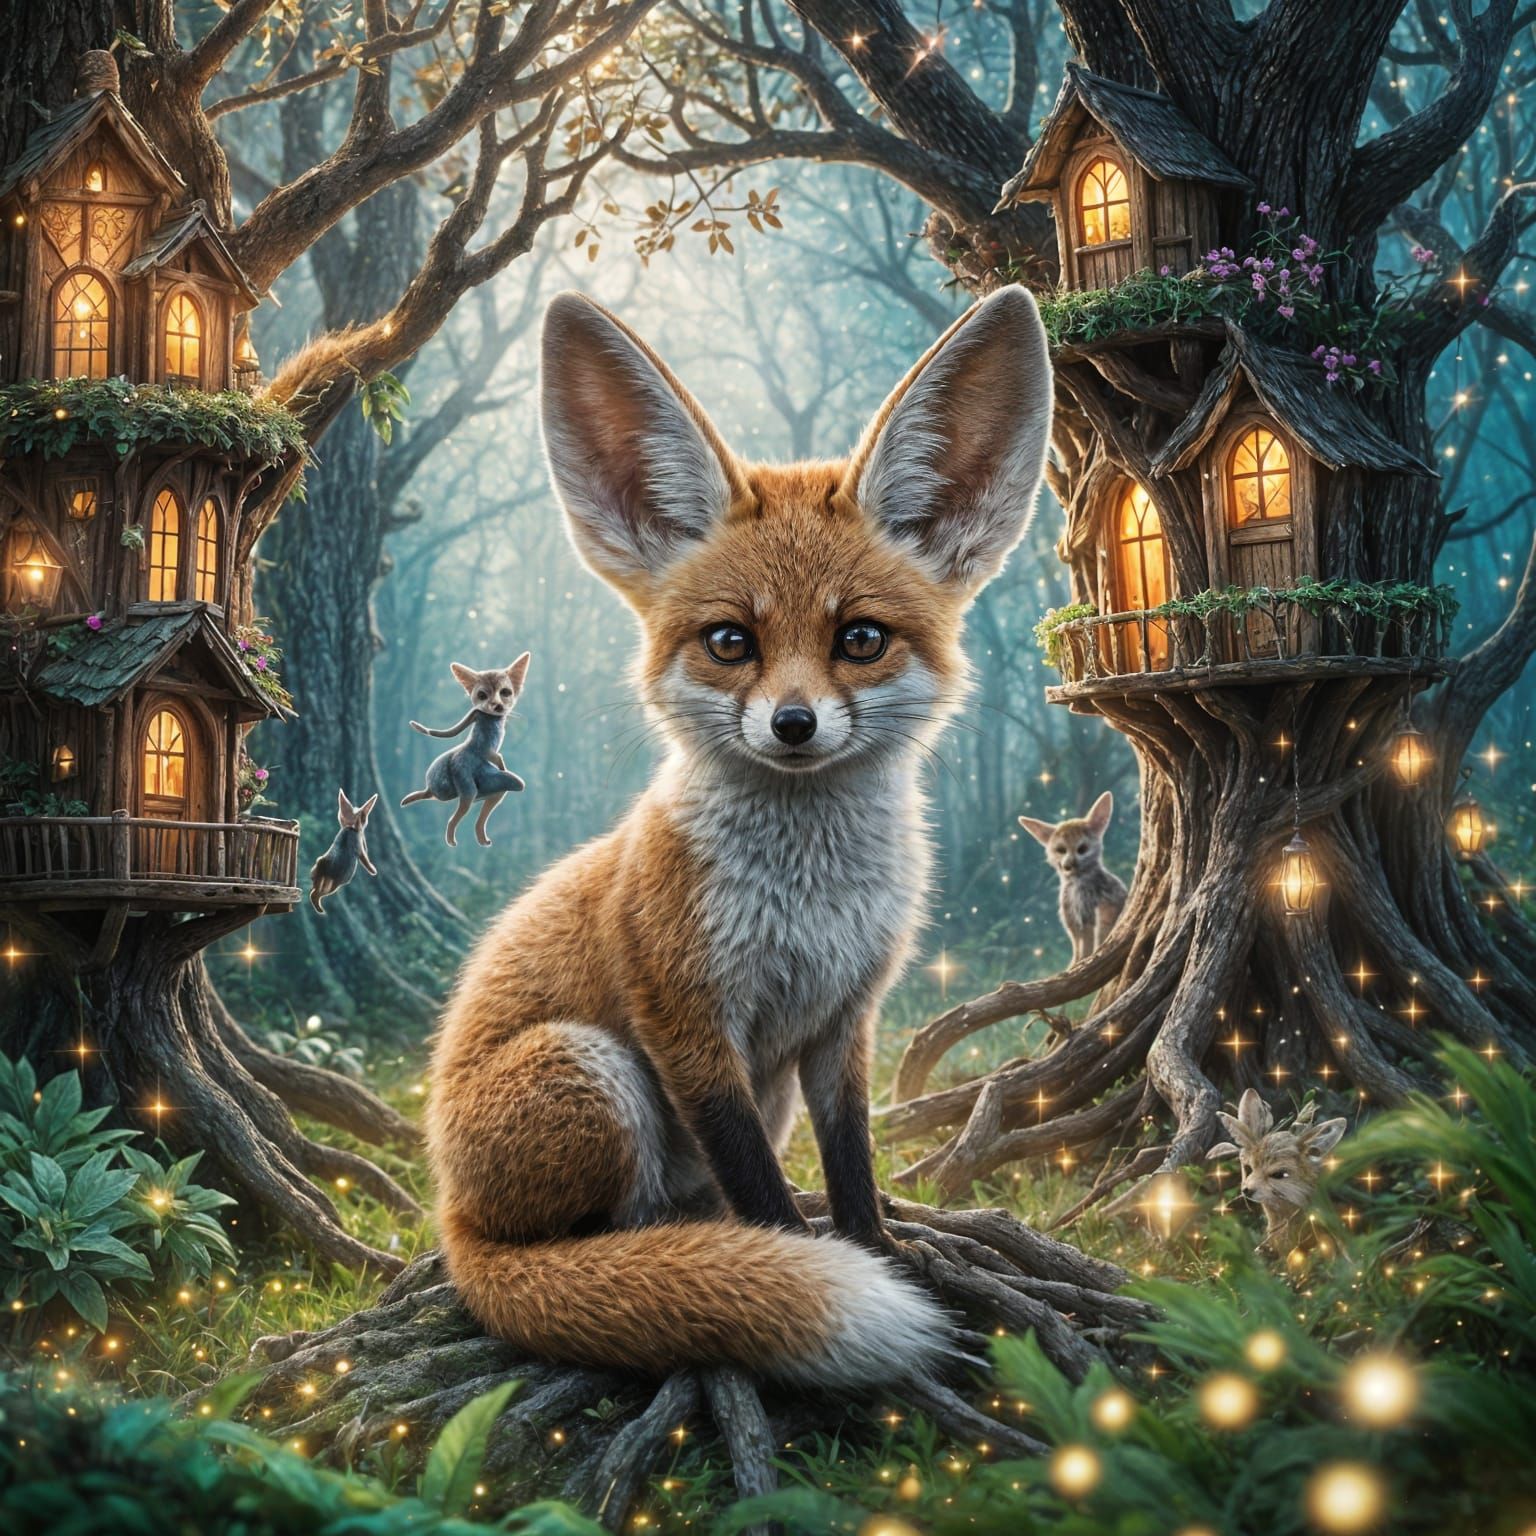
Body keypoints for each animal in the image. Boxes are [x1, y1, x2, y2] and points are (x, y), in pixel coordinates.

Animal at [426, 286, 1053, 1391]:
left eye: (859, 639)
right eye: (731, 642)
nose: (792, 725)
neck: (808, 902)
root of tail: (450, 1217)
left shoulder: (845, 1018)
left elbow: (851, 1170)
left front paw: (876, 1252)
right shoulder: (685, 1022)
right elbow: (761, 1191)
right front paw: (797, 1266)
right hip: (587, 1065)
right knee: (583, 1244)